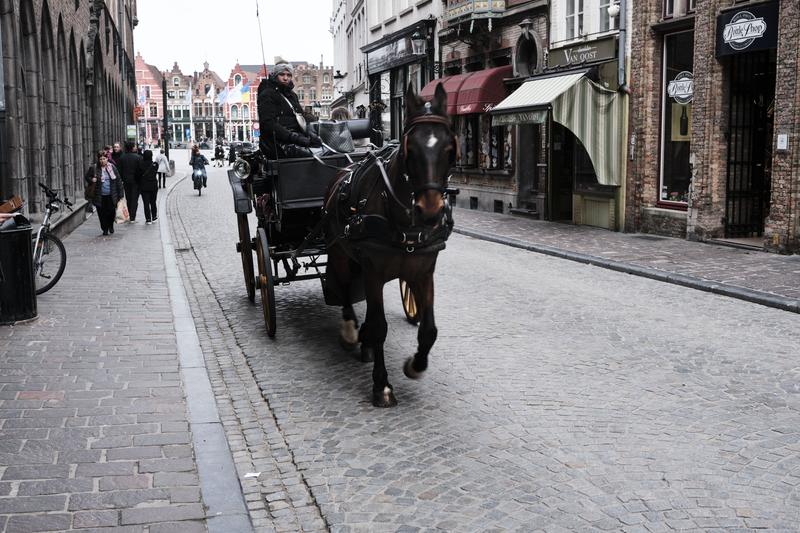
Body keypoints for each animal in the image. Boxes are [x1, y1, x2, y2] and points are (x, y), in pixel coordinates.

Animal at [320, 83, 456, 408]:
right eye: (410, 148)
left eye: (449, 149)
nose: (430, 212)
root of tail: (342, 171)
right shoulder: (374, 272)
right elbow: (380, 325)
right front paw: (381, 385)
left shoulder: (423, 272)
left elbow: (429, 329)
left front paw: (415, 365)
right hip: (341, 254)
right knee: (345, 290)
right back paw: (351, 333)